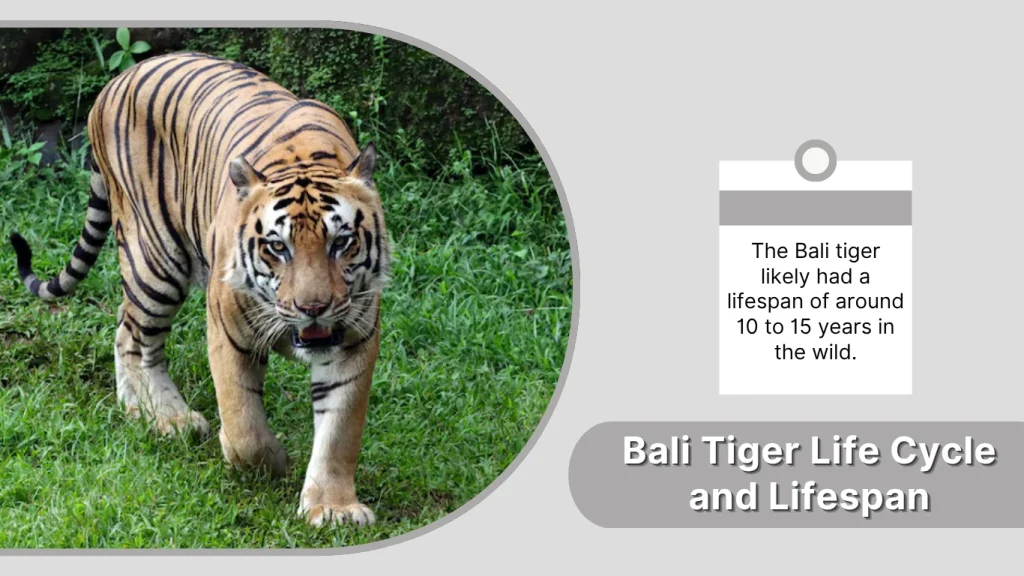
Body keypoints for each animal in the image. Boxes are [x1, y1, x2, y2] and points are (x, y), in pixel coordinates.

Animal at [8, 52, 391, 527]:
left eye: (341, 242)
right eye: (277, 247)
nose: (313, 307)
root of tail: (114, 82)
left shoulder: (355, 340)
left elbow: (339, 431)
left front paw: (333, 508)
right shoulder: (227, 329)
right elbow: (244, 425)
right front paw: (270, 461)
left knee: (122, 324)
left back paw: (136, 409)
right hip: (154, 260)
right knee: (137, 339)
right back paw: (169, 419)